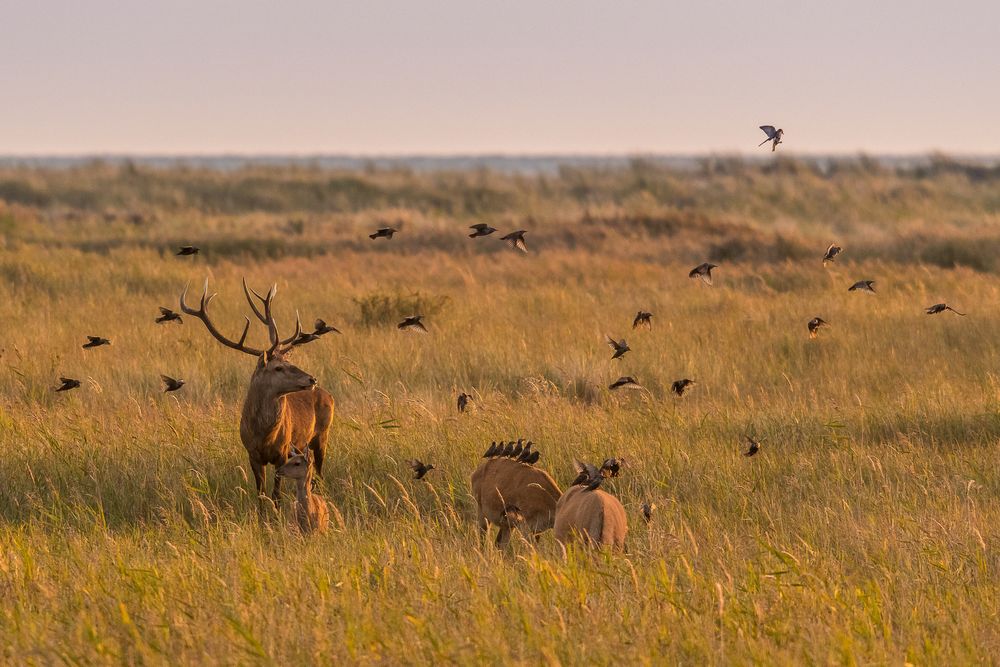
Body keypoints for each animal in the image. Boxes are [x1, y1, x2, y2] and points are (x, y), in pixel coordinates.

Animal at [181, 280, 336, 504]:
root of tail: (328, 395)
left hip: (323, 434)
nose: (312, 379)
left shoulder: (282, 452)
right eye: (278, 367)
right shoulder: (252, 454)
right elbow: (261, 494)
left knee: (321, 472)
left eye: (288, 361)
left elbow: (276, 494)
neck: (264, 435)